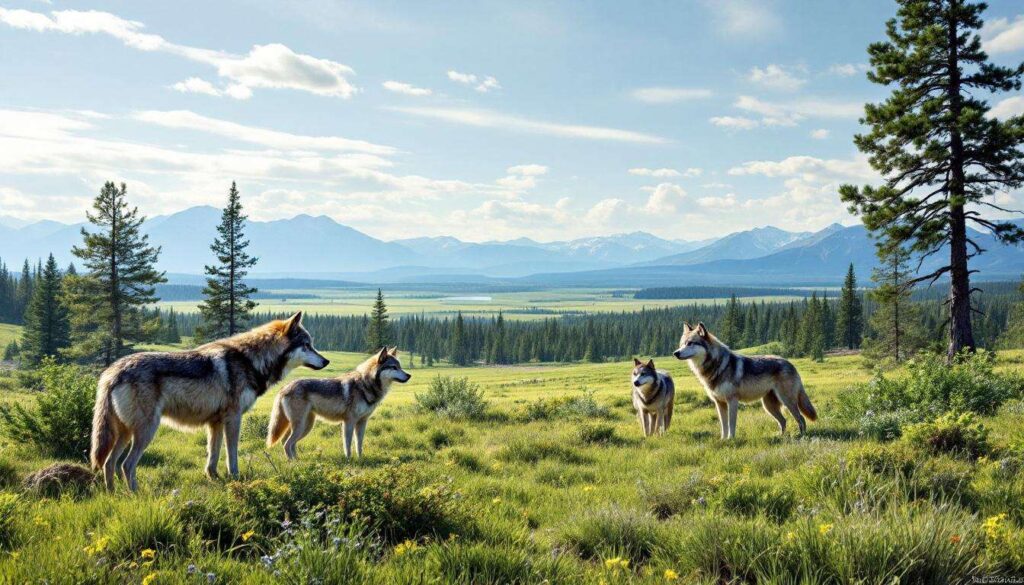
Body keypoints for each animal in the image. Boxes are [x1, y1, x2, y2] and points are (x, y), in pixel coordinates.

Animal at [90, 312, 328, 491]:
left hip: (125, 433)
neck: (251, 361)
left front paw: (214, 479)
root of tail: (112, 372)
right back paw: (137, 495)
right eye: (307, 345)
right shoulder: (233, 418)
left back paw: (113, 495)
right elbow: (232, 454)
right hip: (146, 430)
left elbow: (212, 456)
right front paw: (235, 478)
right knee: (126, 465)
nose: (326, 361)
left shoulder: (215, 423)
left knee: (109, 463)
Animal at [267, 346, 410, 460]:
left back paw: (298, 460)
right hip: (301, 426)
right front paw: (349, 460)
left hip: (306, 426)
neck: (365, 385)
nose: (409, 375)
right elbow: (348, 445)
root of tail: (284, 388)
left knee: (288, 442)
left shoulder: (362, 422)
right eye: (394, 367)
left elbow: (359, 445)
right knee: (287, 444)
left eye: (400, 367)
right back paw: (294, 463)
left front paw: (360, 459)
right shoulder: (349, 422)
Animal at [672, 322, 816, 439]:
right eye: (682, 344)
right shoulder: (719, 403)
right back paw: (781, 437)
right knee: (784, 421)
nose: (675, 353)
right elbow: (723, 426)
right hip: (768, 406)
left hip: (787, 402)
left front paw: (731, 440)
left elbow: (731, 424)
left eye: (690, 343)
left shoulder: (732, 401)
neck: (717, 366)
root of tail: (790, 363)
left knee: (801, 419)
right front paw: (723, 440)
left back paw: (802, 437)